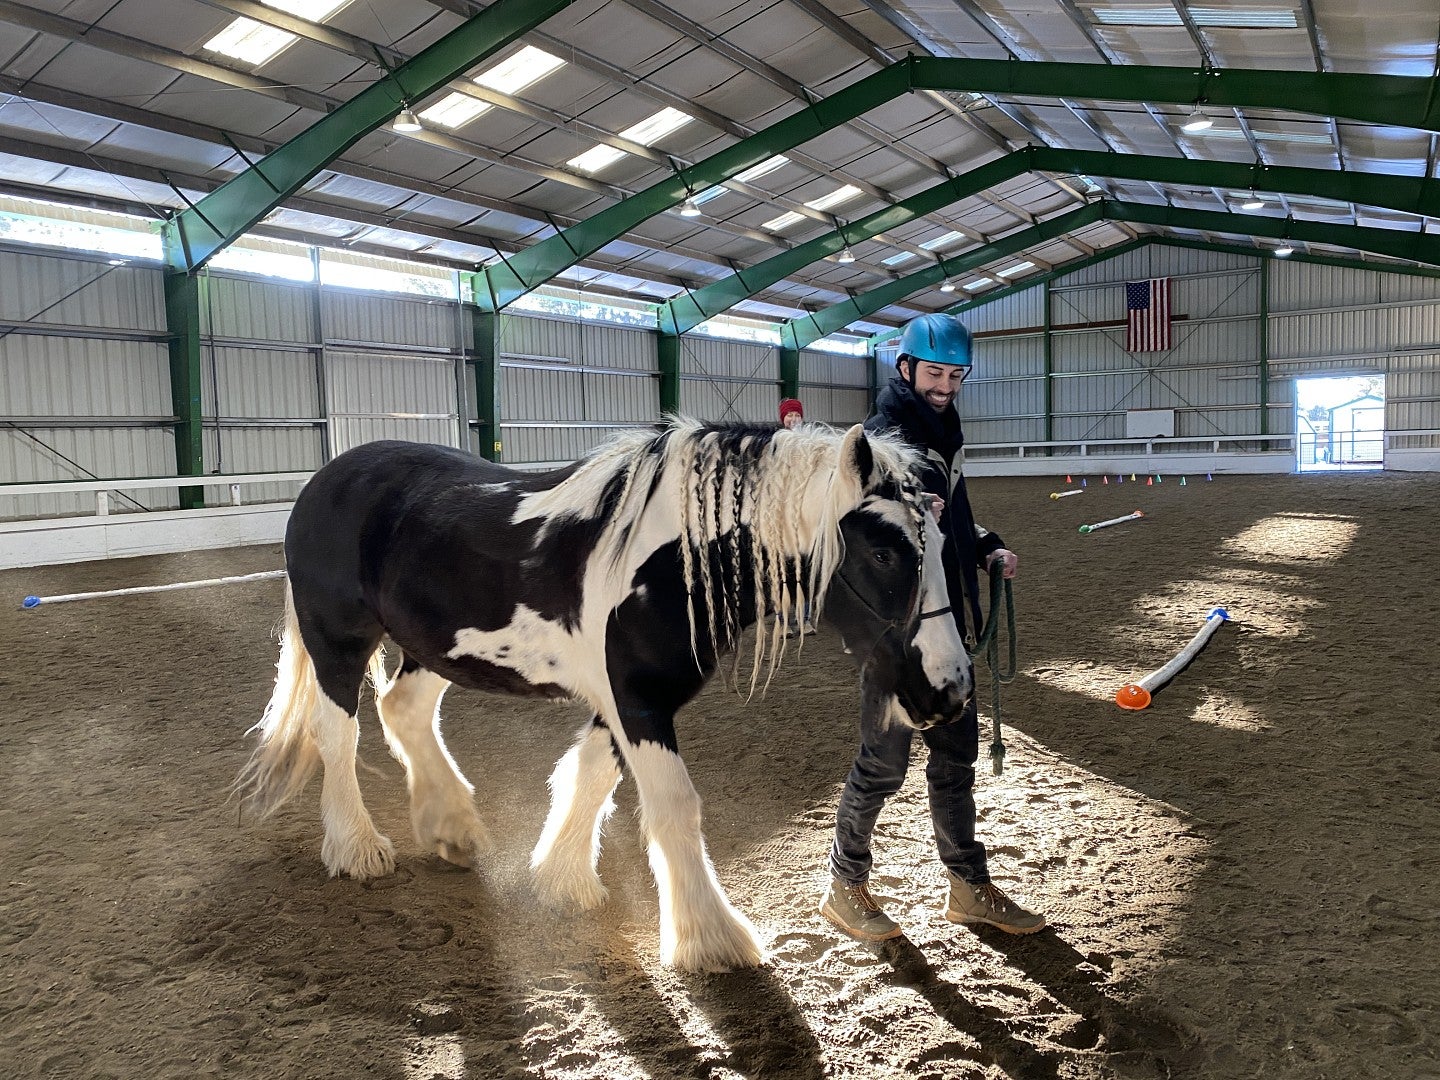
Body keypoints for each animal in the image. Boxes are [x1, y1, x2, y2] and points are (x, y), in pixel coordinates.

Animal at [236, 417, 973, 979]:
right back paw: (357, 849)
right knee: (339, 734)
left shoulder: (631, 699)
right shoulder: (638, 699)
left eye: (940, 542)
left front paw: (559, 879)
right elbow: (672, 806)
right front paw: (710, 936)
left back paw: (452, 826)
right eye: (883, 553)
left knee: (404, 711)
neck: (675, 560)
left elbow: (591, 775)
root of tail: (325, 480)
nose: (952, 689)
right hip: (338, 639)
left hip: (435, 646)